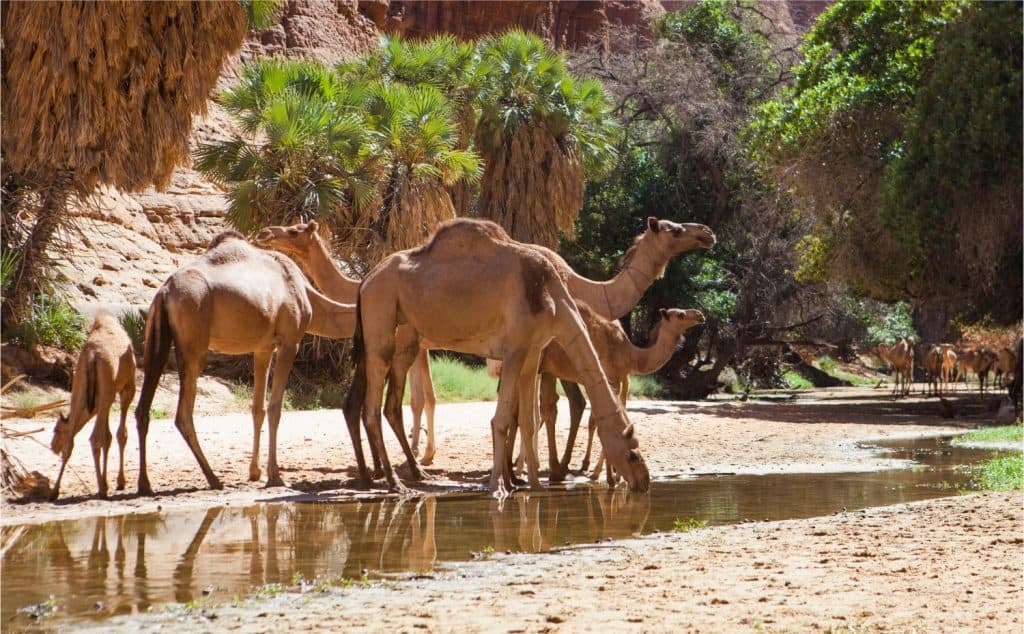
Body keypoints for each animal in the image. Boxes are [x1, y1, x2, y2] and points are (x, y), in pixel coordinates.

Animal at [49, 311, 136, 500]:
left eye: (56, 429)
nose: (52, 446)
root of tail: (92, 357)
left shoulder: (103, 399)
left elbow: (109, 437)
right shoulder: (126, 389)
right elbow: (120, 435)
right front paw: (119, 482)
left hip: (80, 388)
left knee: (72, 444)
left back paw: (54, 491)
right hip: (107, 391)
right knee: (95, 438)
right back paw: (102, 488)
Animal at [134, 230, 360, 495]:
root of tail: (164, 293)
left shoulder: (263, 347)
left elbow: (257, 409)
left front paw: (255, 473)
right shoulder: (290, 341)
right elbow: (275, 408)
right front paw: (275, 476)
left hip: (156, 338)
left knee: (142, 408)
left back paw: (144, 484)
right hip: (193, 344)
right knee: (183, 414)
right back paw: (213, 478)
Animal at [253, 221, 440, 466]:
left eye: (294, 230)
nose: (264, 232)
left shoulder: (415, 345)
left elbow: (423, 398)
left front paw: (423, 454)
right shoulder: (421, 347)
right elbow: (422, 398)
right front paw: (419, 452)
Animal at [343, 218, 651, 495]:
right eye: (632, 454)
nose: (643, 481)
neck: (551, 298)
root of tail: (365, 281)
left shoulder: (532, 353)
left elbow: (528, 420)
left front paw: (535, 486)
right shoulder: (514, 349)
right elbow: (501, 420)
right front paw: (498, 487)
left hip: (402, 327)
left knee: (389, 405)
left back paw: (410, 475)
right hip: (380, 313)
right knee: (372, 406)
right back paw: (395, 482)